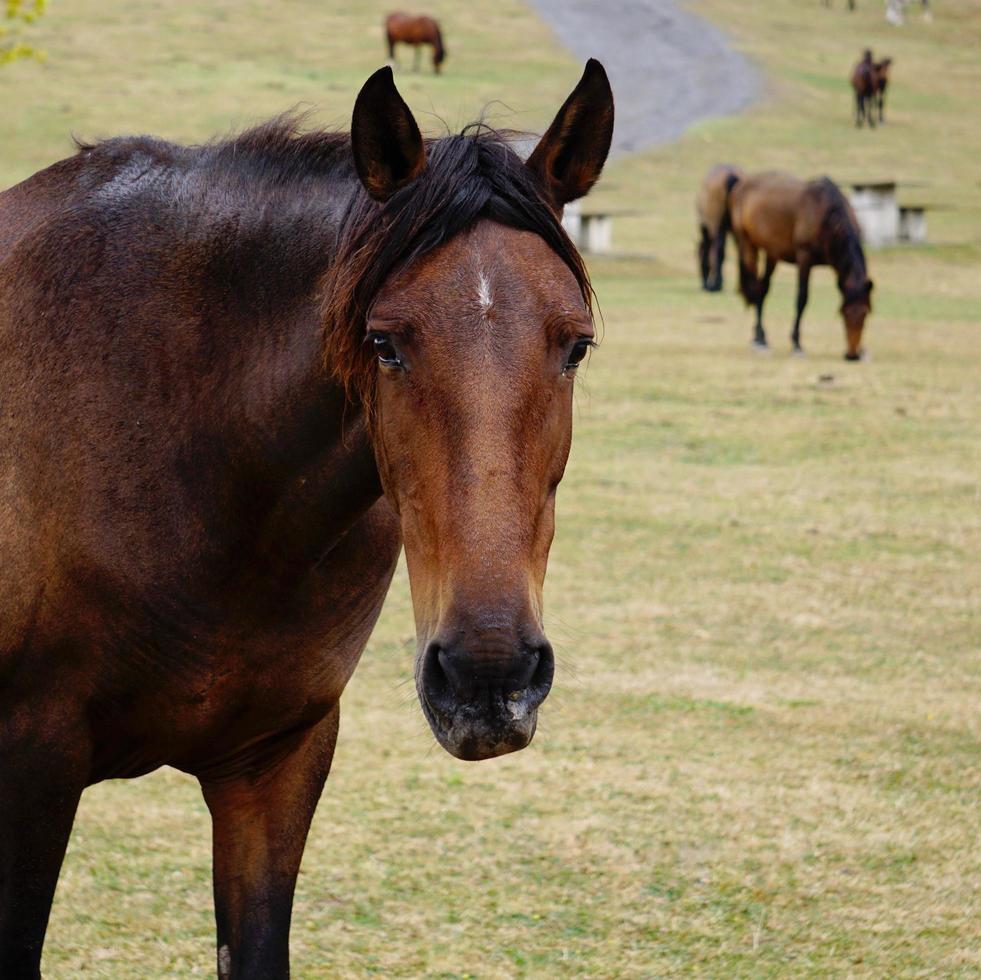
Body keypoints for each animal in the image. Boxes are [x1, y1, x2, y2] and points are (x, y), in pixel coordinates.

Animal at [728, 171, 872, 360]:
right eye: (843, 312)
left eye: (865, 313)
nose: (852, 355)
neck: (824, 212)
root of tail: (741, 184)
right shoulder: (805, 258)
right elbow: (802, 299)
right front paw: (797, 344)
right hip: (748, 246)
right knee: (755, 287)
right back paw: (759, 339)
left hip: (772, 253)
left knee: (763, 288)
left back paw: (761, 338)